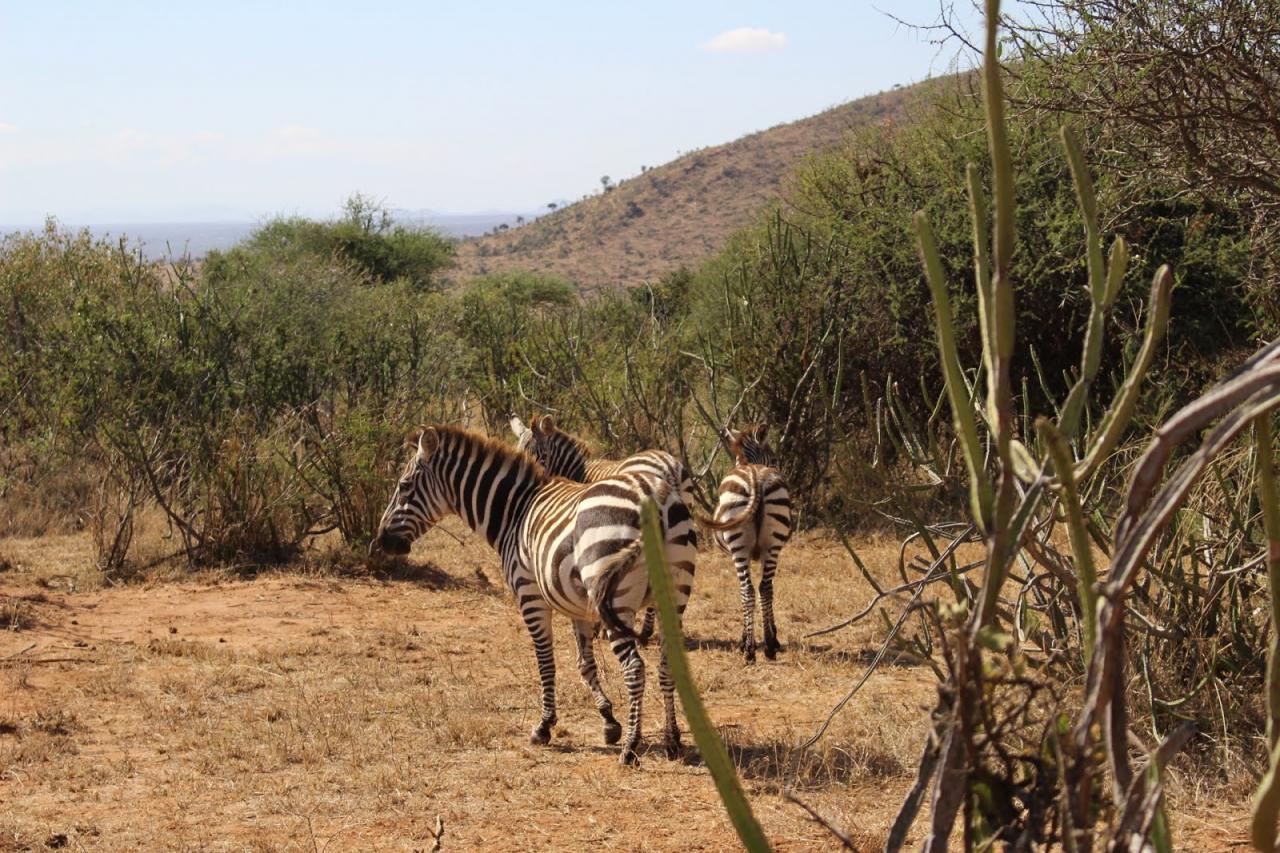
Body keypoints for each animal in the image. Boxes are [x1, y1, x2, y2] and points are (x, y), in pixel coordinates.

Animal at [371, 422, 696, 758]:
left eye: (404, 485)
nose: (382, 540)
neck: (514, 512)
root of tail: (653, 495)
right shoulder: (579, 605)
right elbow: (585, 664)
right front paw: (608, 721)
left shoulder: (530, 596)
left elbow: (546, 663)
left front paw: (544, 726)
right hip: (674, 595)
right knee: (668, 664)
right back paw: (672, 739)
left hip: (616, 600)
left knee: (634, 668)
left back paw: (631, 747)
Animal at [711, 422, 788, 660]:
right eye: (775, 460)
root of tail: (755, 476)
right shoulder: (763, 553)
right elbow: (767, 590)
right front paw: (771, 636)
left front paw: (745, 638)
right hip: (772, 545)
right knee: (764, 588)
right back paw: (769, 646)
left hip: (739, 548)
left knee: (747, 590)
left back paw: (750, 651)